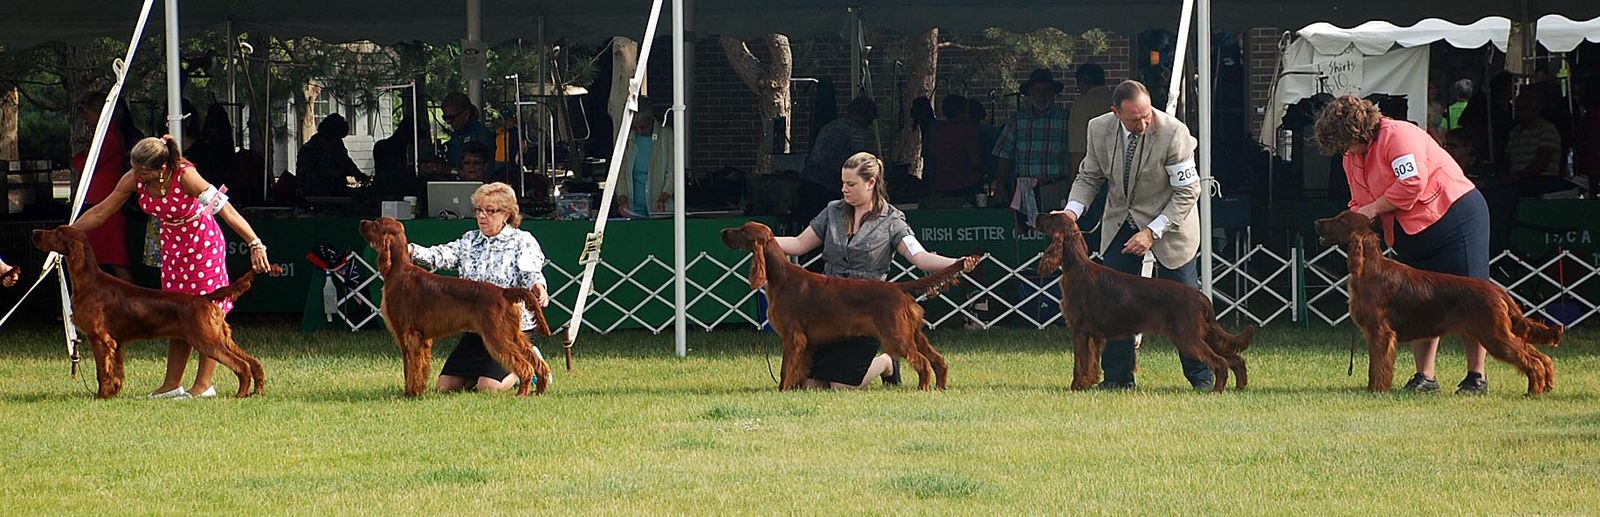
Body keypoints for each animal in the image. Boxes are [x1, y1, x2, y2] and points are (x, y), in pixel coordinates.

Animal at [1034, 213, 1255, 392]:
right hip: (1204, 334)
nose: (1037, 215)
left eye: (1049, 218)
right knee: (1236, 358)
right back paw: (1240, 387)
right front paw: (1089, 384)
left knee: (1221, 362)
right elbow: (1092, 364)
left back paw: (1217, 389)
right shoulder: (1095, 335)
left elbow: (1080, 364)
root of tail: (1202, 298)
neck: (1076, 266)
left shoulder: (1080, 330)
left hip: (1188, 338)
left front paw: (1076, 387)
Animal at [1314, 210, 1560, 394]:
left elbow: (1378, 366)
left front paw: (1376, 390)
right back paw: (1547, 385)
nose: (1316, 222)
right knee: (1540, 355)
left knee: (1529, 359)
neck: (1369, 269)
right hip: (1497, 331)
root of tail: (1496, 289)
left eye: (1341, 220)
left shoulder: (1380, 332)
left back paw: (1533, 390)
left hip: (1493, 334)